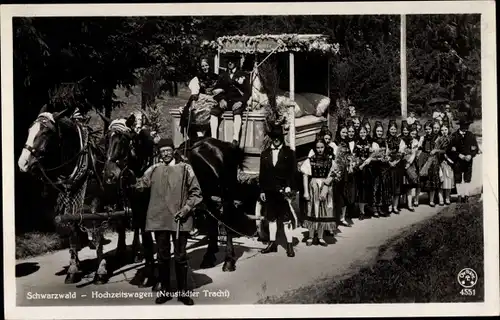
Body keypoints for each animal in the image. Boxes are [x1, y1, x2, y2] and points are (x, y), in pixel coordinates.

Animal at [18, 107, 129, 282]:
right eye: (30, 130)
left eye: (46, 132)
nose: (22, 163)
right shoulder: (69, 204)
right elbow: (73, 234)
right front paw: (73, 269)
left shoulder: (96, 205)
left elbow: (97, 235)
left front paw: (101, 270)